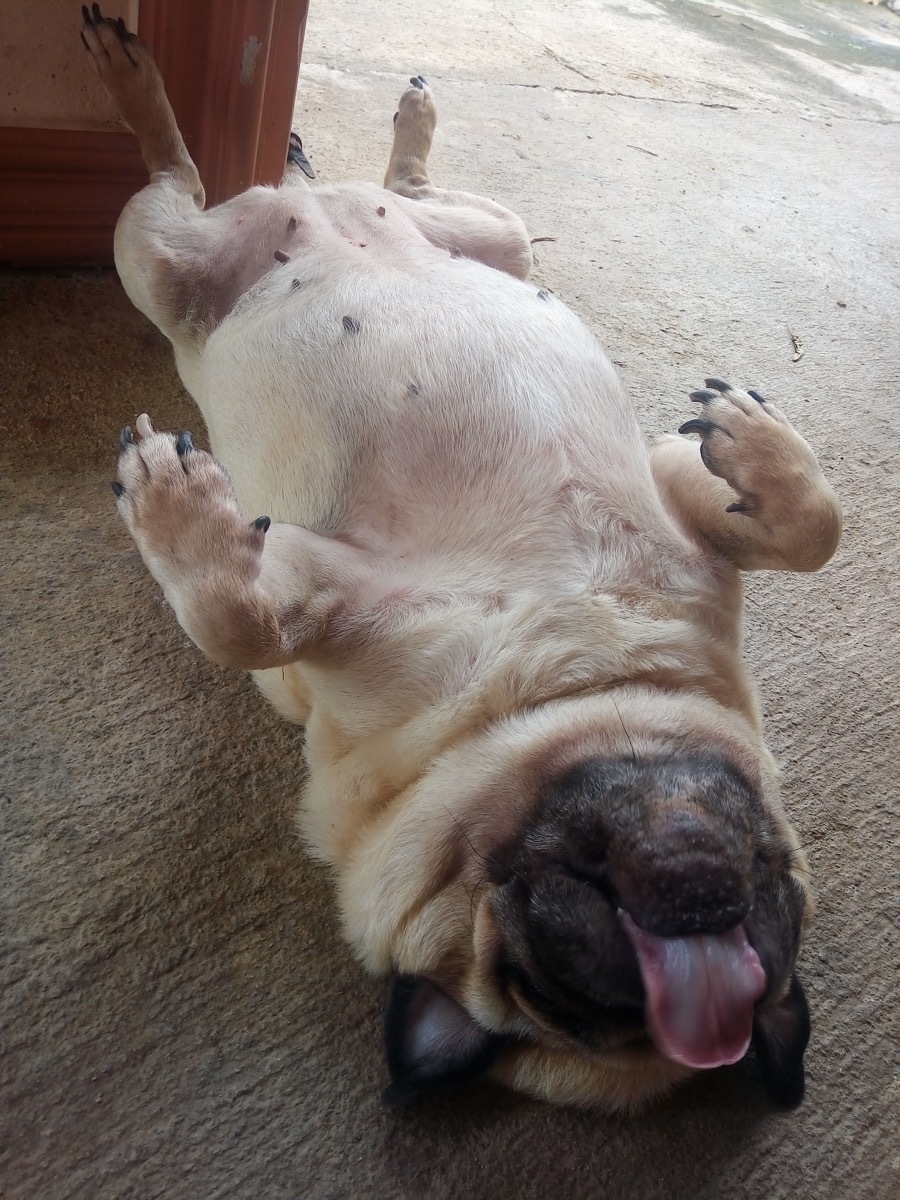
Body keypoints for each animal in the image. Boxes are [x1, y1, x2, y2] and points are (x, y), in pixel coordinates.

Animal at [79, 4, 844, 1108]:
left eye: (562, 991)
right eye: (574, 962)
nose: (697, 900)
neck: (575, 673)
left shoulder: (315, 592)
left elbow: (239, 620)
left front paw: (173, 505)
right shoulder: (676, 490)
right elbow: (813, 529)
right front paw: (754, 442)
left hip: (227, 257)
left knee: (226, 189)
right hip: (326, 250)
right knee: (246, 175)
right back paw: (193, 90)